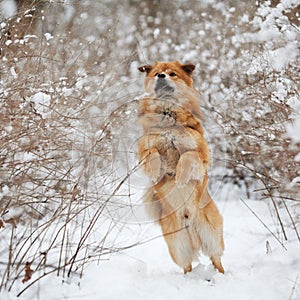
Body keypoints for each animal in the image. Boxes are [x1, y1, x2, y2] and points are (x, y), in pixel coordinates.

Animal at [137, 61, 224, 274]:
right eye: (156, 73)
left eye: (172, 74)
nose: (161, 75)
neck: (168, 114)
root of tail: (190, 226)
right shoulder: (144, 147)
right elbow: (152, 152)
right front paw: (155, 171)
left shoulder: (201, 154)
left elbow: (187, 155)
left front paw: (181, 177)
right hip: (178, 245)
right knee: (187, 266)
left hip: (212, 236)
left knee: (216, 259)